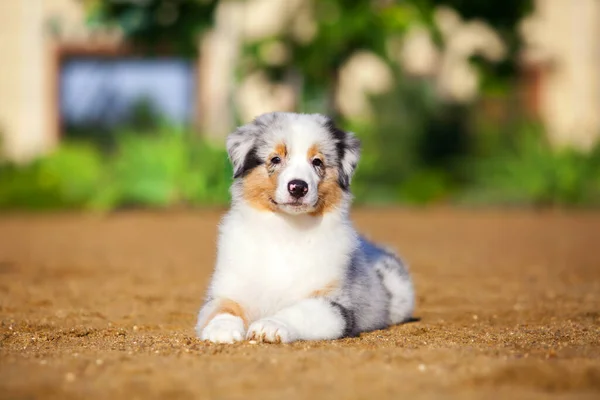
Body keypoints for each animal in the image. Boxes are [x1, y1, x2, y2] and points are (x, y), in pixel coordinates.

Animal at [195, 111, 414, 344]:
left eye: (317, 161)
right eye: (276, 159)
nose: (298, 187)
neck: (287, 231)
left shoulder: (334, 305)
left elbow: (299, 311)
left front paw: (270, 326)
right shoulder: (228, 290)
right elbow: (222, 307)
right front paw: (221, 329)